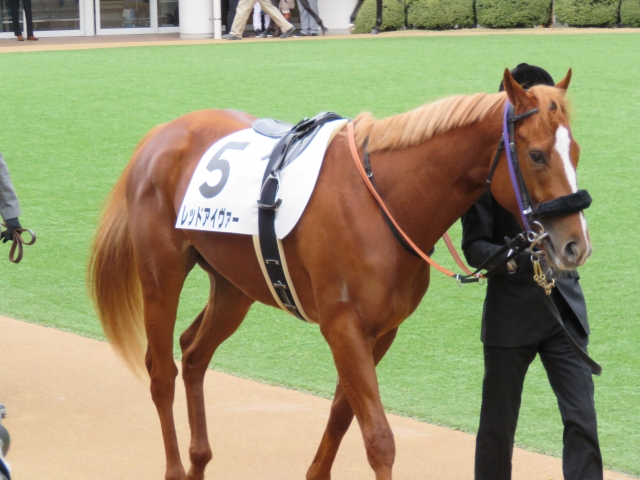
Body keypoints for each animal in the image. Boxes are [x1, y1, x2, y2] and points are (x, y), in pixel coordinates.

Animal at [88, 68, 590, 480]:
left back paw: (198, 460)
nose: (575, 245)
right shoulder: (343, 326)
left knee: (194, 353)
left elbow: (342, 413)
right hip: (161, 275)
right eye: (538, 155)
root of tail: (161, 134)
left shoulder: (380, 332)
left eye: (576, 151)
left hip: (234, 285)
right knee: (161, 372)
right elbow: (379, 438)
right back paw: (176, 466)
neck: (382, 200)